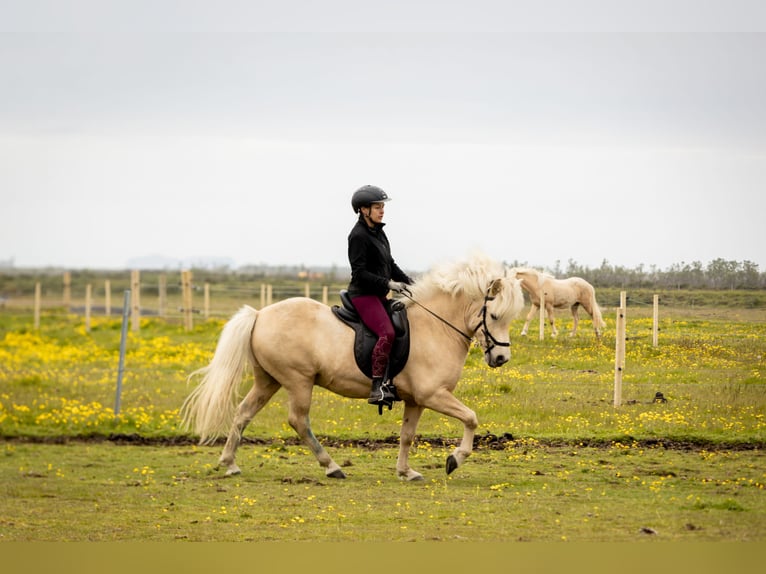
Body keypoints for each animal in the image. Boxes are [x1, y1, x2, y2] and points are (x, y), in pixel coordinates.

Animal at [180, 253, 524, 481]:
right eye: (495, 316)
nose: (501, 359)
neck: (435, 327)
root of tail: (260, 314)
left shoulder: (416, 400)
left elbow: (407, 435)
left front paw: (406, 471)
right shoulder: (433, 395)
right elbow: (471, 417)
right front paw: (455, 459)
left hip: (268, 381)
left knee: (243, 413)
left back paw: (229, 463)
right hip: (298, 381)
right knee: (298, 421)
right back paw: (331, 466)